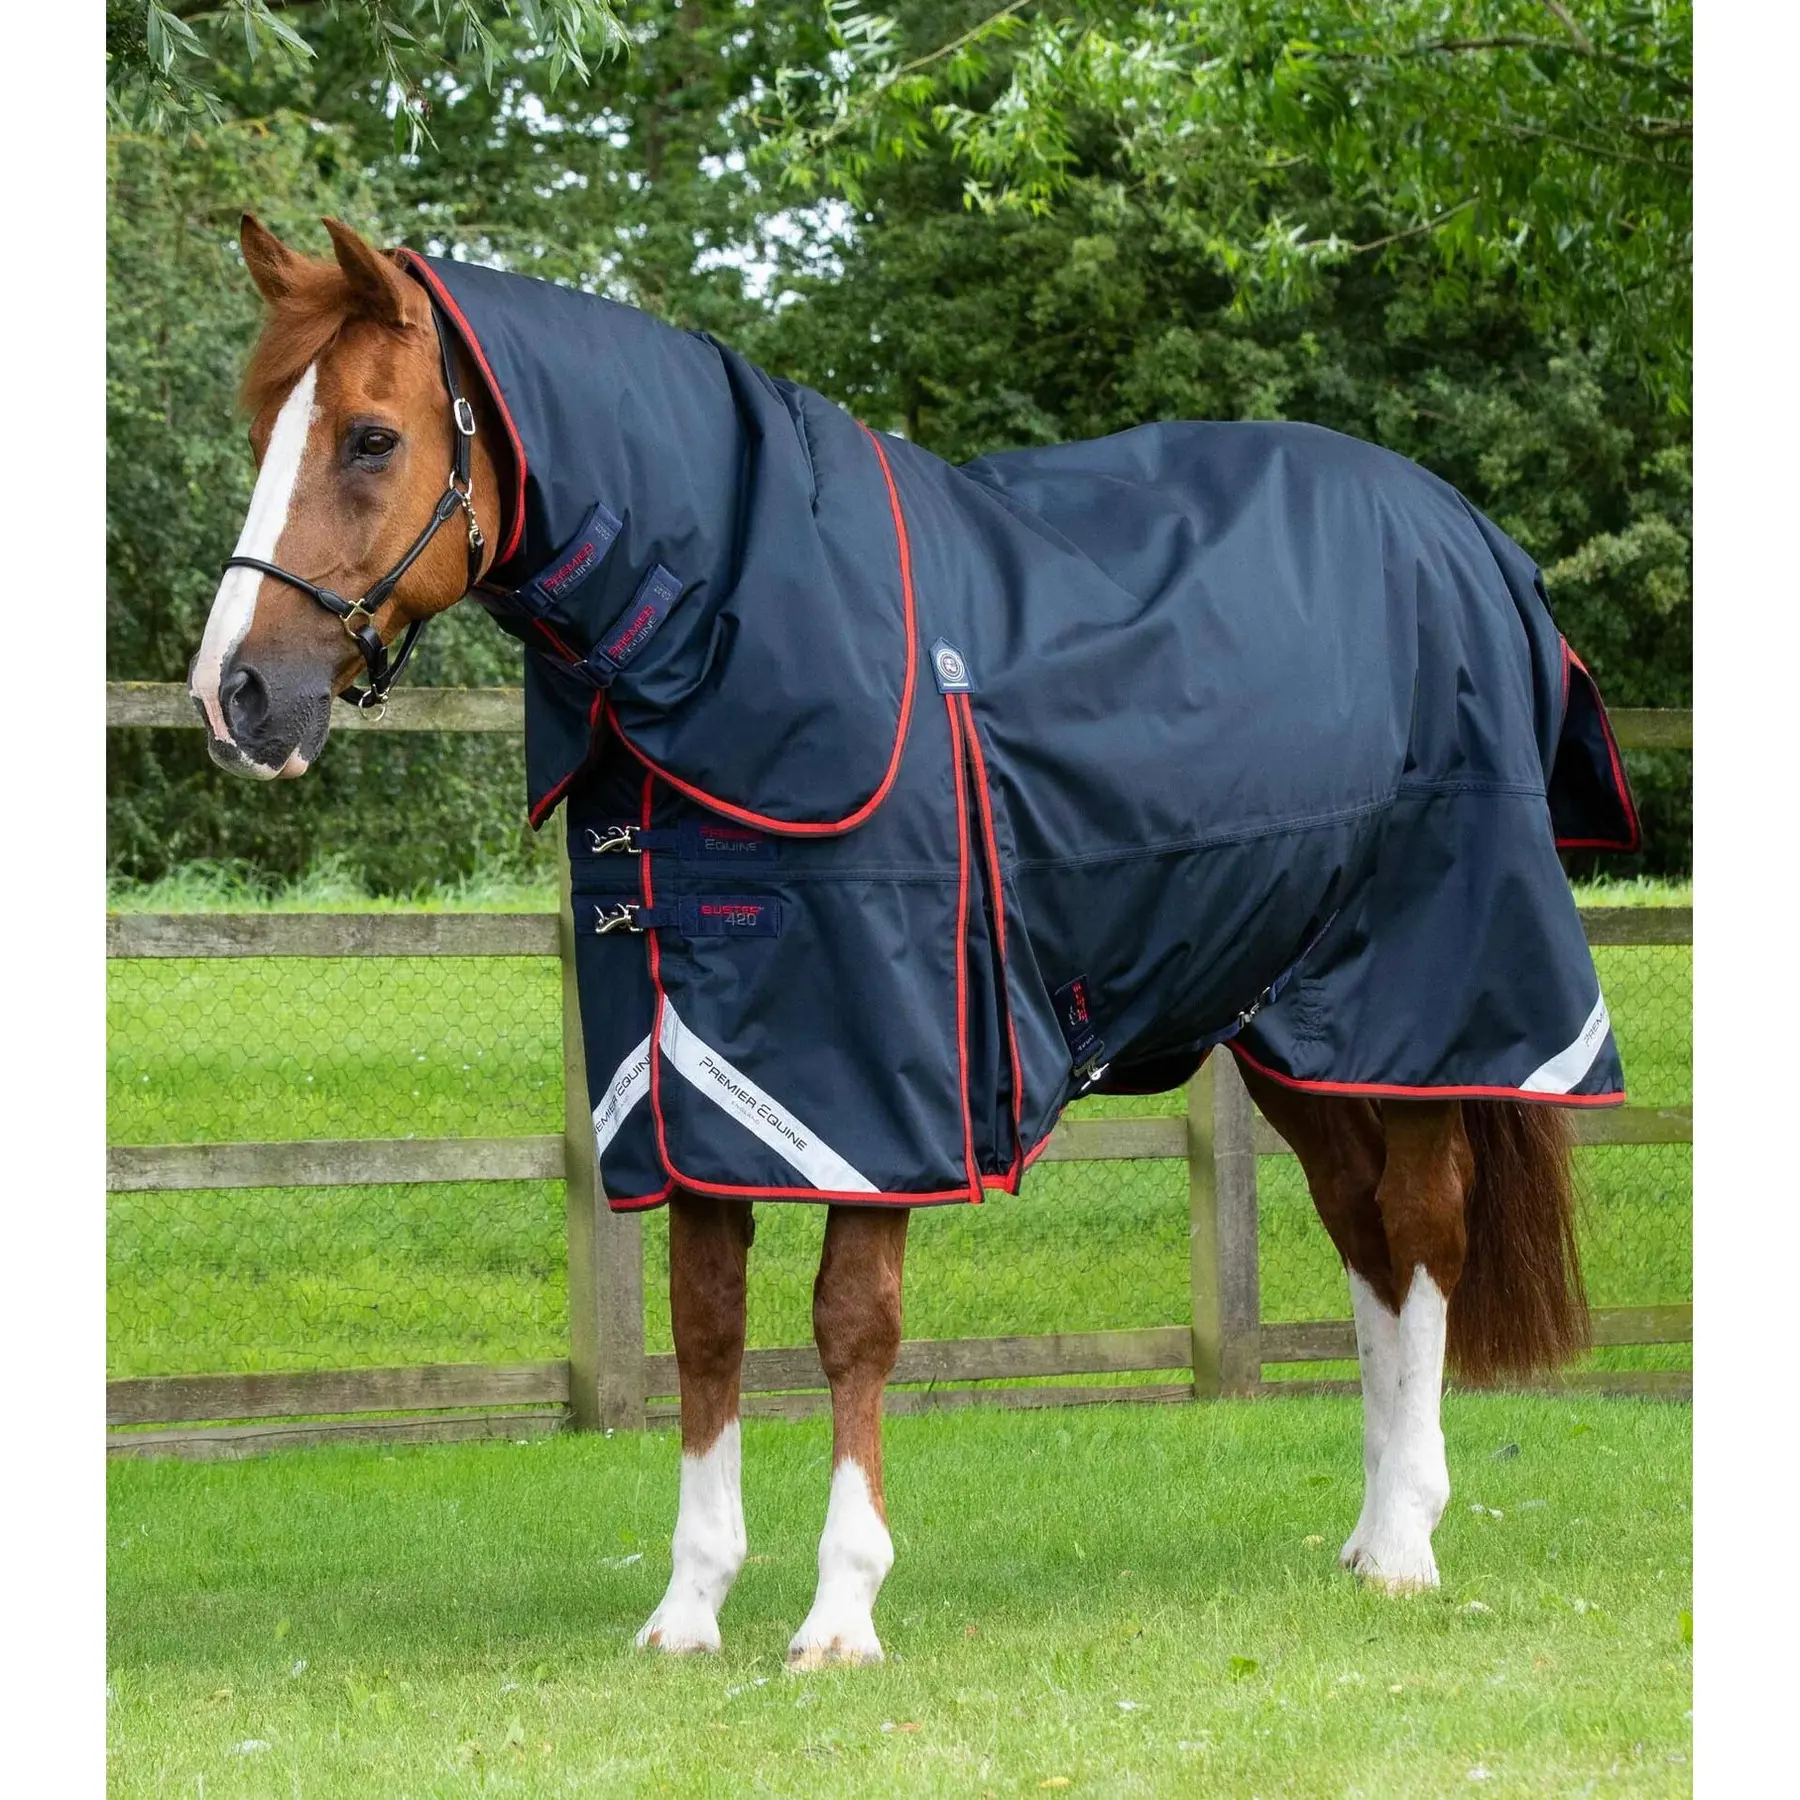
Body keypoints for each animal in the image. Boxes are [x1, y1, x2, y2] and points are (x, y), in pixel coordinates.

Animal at [187, 214, 1627, 1665]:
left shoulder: (879, 1088)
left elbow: (851, 1326)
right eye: (262, 426)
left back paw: (1408, 1543)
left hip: (1432, 1002)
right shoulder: (683, 1085)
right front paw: (689, 1609)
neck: (734, 635)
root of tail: (1471, 541)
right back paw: (1373, 1528)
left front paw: (840, 1613)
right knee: (1364, 1237)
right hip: (1290, 1026)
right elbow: (705, 1326)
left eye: (372, 437)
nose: (233, 695)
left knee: (1424, 1227)